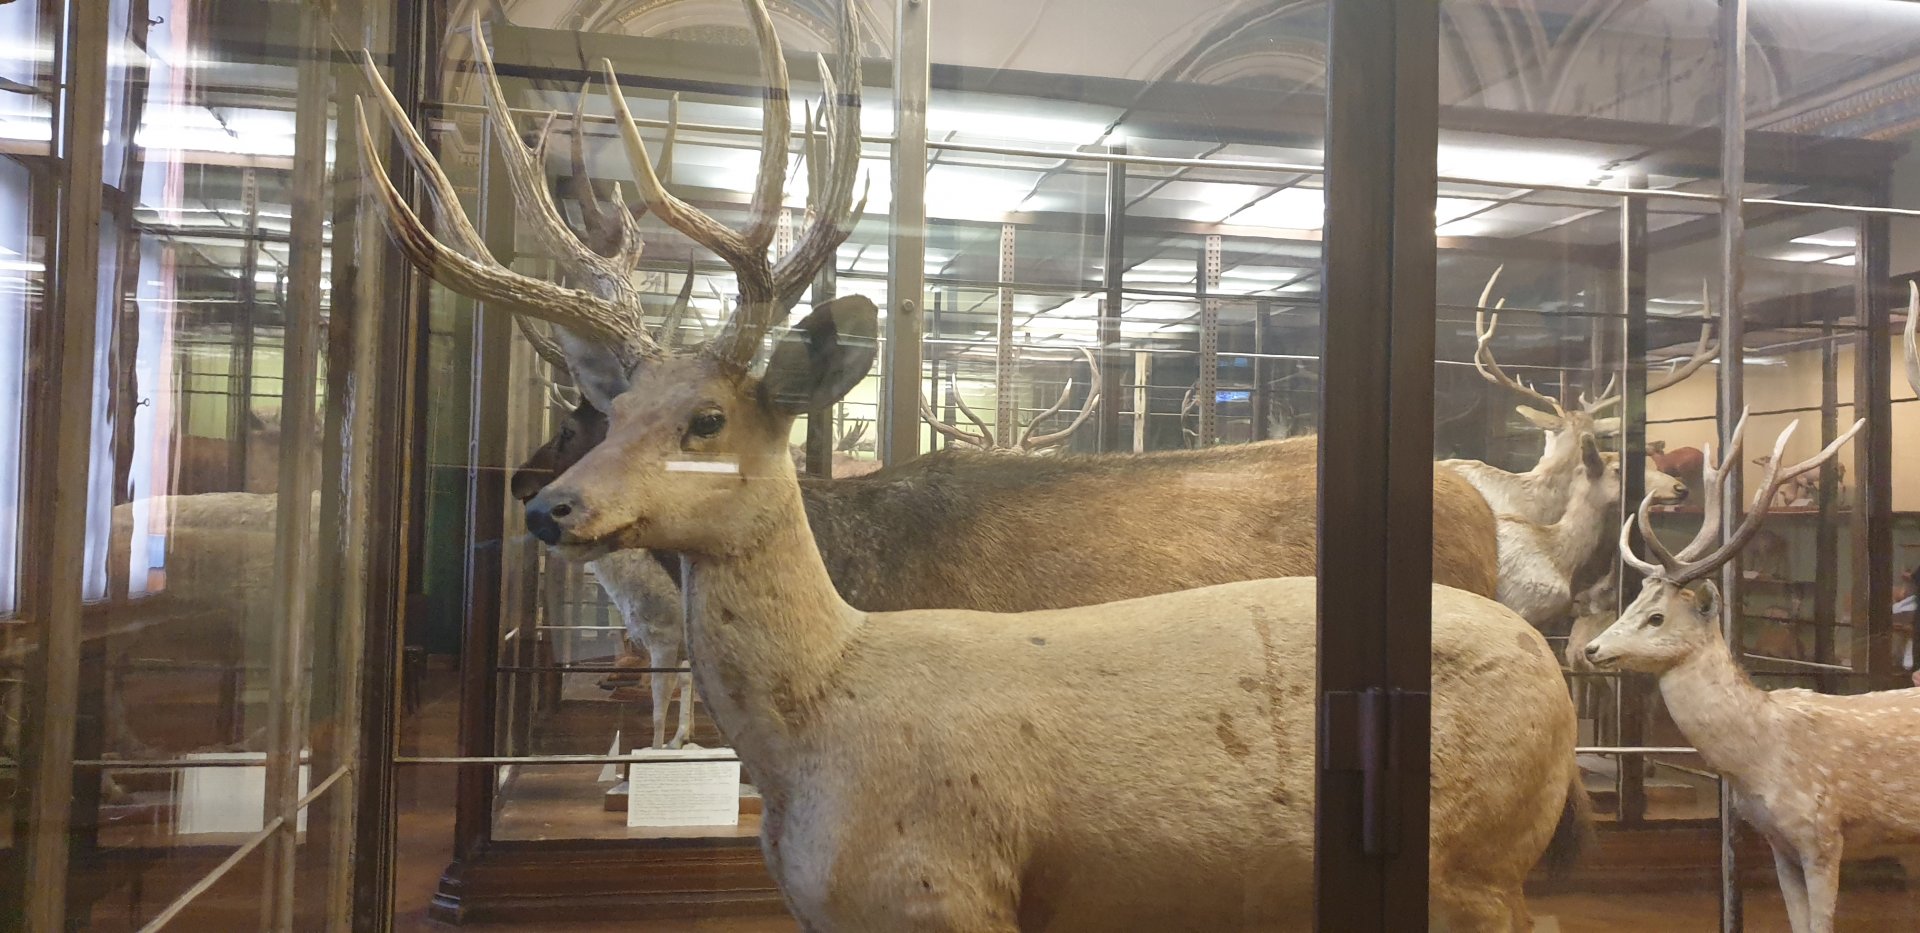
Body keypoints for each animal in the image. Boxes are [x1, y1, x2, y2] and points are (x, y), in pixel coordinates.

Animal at [1584, 410, 1900, 933]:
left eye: (1657, 617)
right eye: (1632, 604)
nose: (1593, 649)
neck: (1762, 760)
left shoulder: (1822, 836)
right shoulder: (1778, 841)